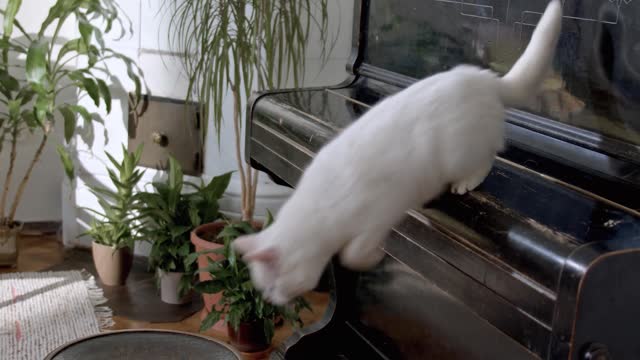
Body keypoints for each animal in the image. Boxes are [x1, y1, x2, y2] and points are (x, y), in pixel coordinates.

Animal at [234, 0, 560, 306]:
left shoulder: (377, 216)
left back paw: (464, 182)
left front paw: (376, 257)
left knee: (488, 158)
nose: (271, 300)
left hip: (463, 152)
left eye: (272, 288)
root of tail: (483, 77)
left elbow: (353, 253)